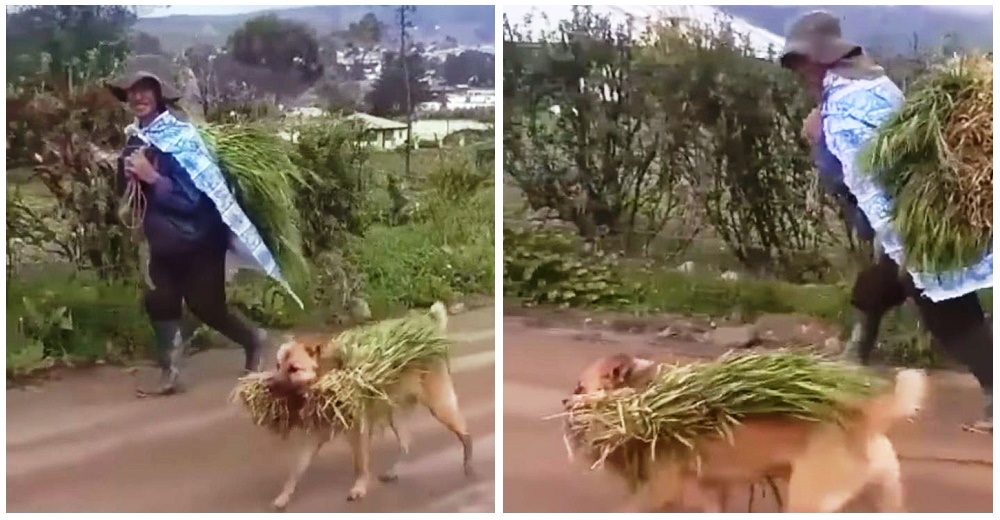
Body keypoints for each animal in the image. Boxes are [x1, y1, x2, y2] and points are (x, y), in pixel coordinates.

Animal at [264, 302, 470, 510]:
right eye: (278, 365)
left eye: (294, 369)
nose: (269, 386)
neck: (327, 377)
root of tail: (430, 328)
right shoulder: (313, 436)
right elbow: (296, 470)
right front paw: (284, 495)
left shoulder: (358, 432)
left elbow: (360, 465)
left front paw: (359, 487)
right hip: (395, 416)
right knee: (406, 443)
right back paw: (393, 471)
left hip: (440, 407)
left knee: (464, 433)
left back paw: (468, 464)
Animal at [568, 354, 924, 512]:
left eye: (579, 387)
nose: (563, 401)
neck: (645, 399)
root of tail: (864, 417)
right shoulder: (712, 491)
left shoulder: (660, 490)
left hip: (806, 502)